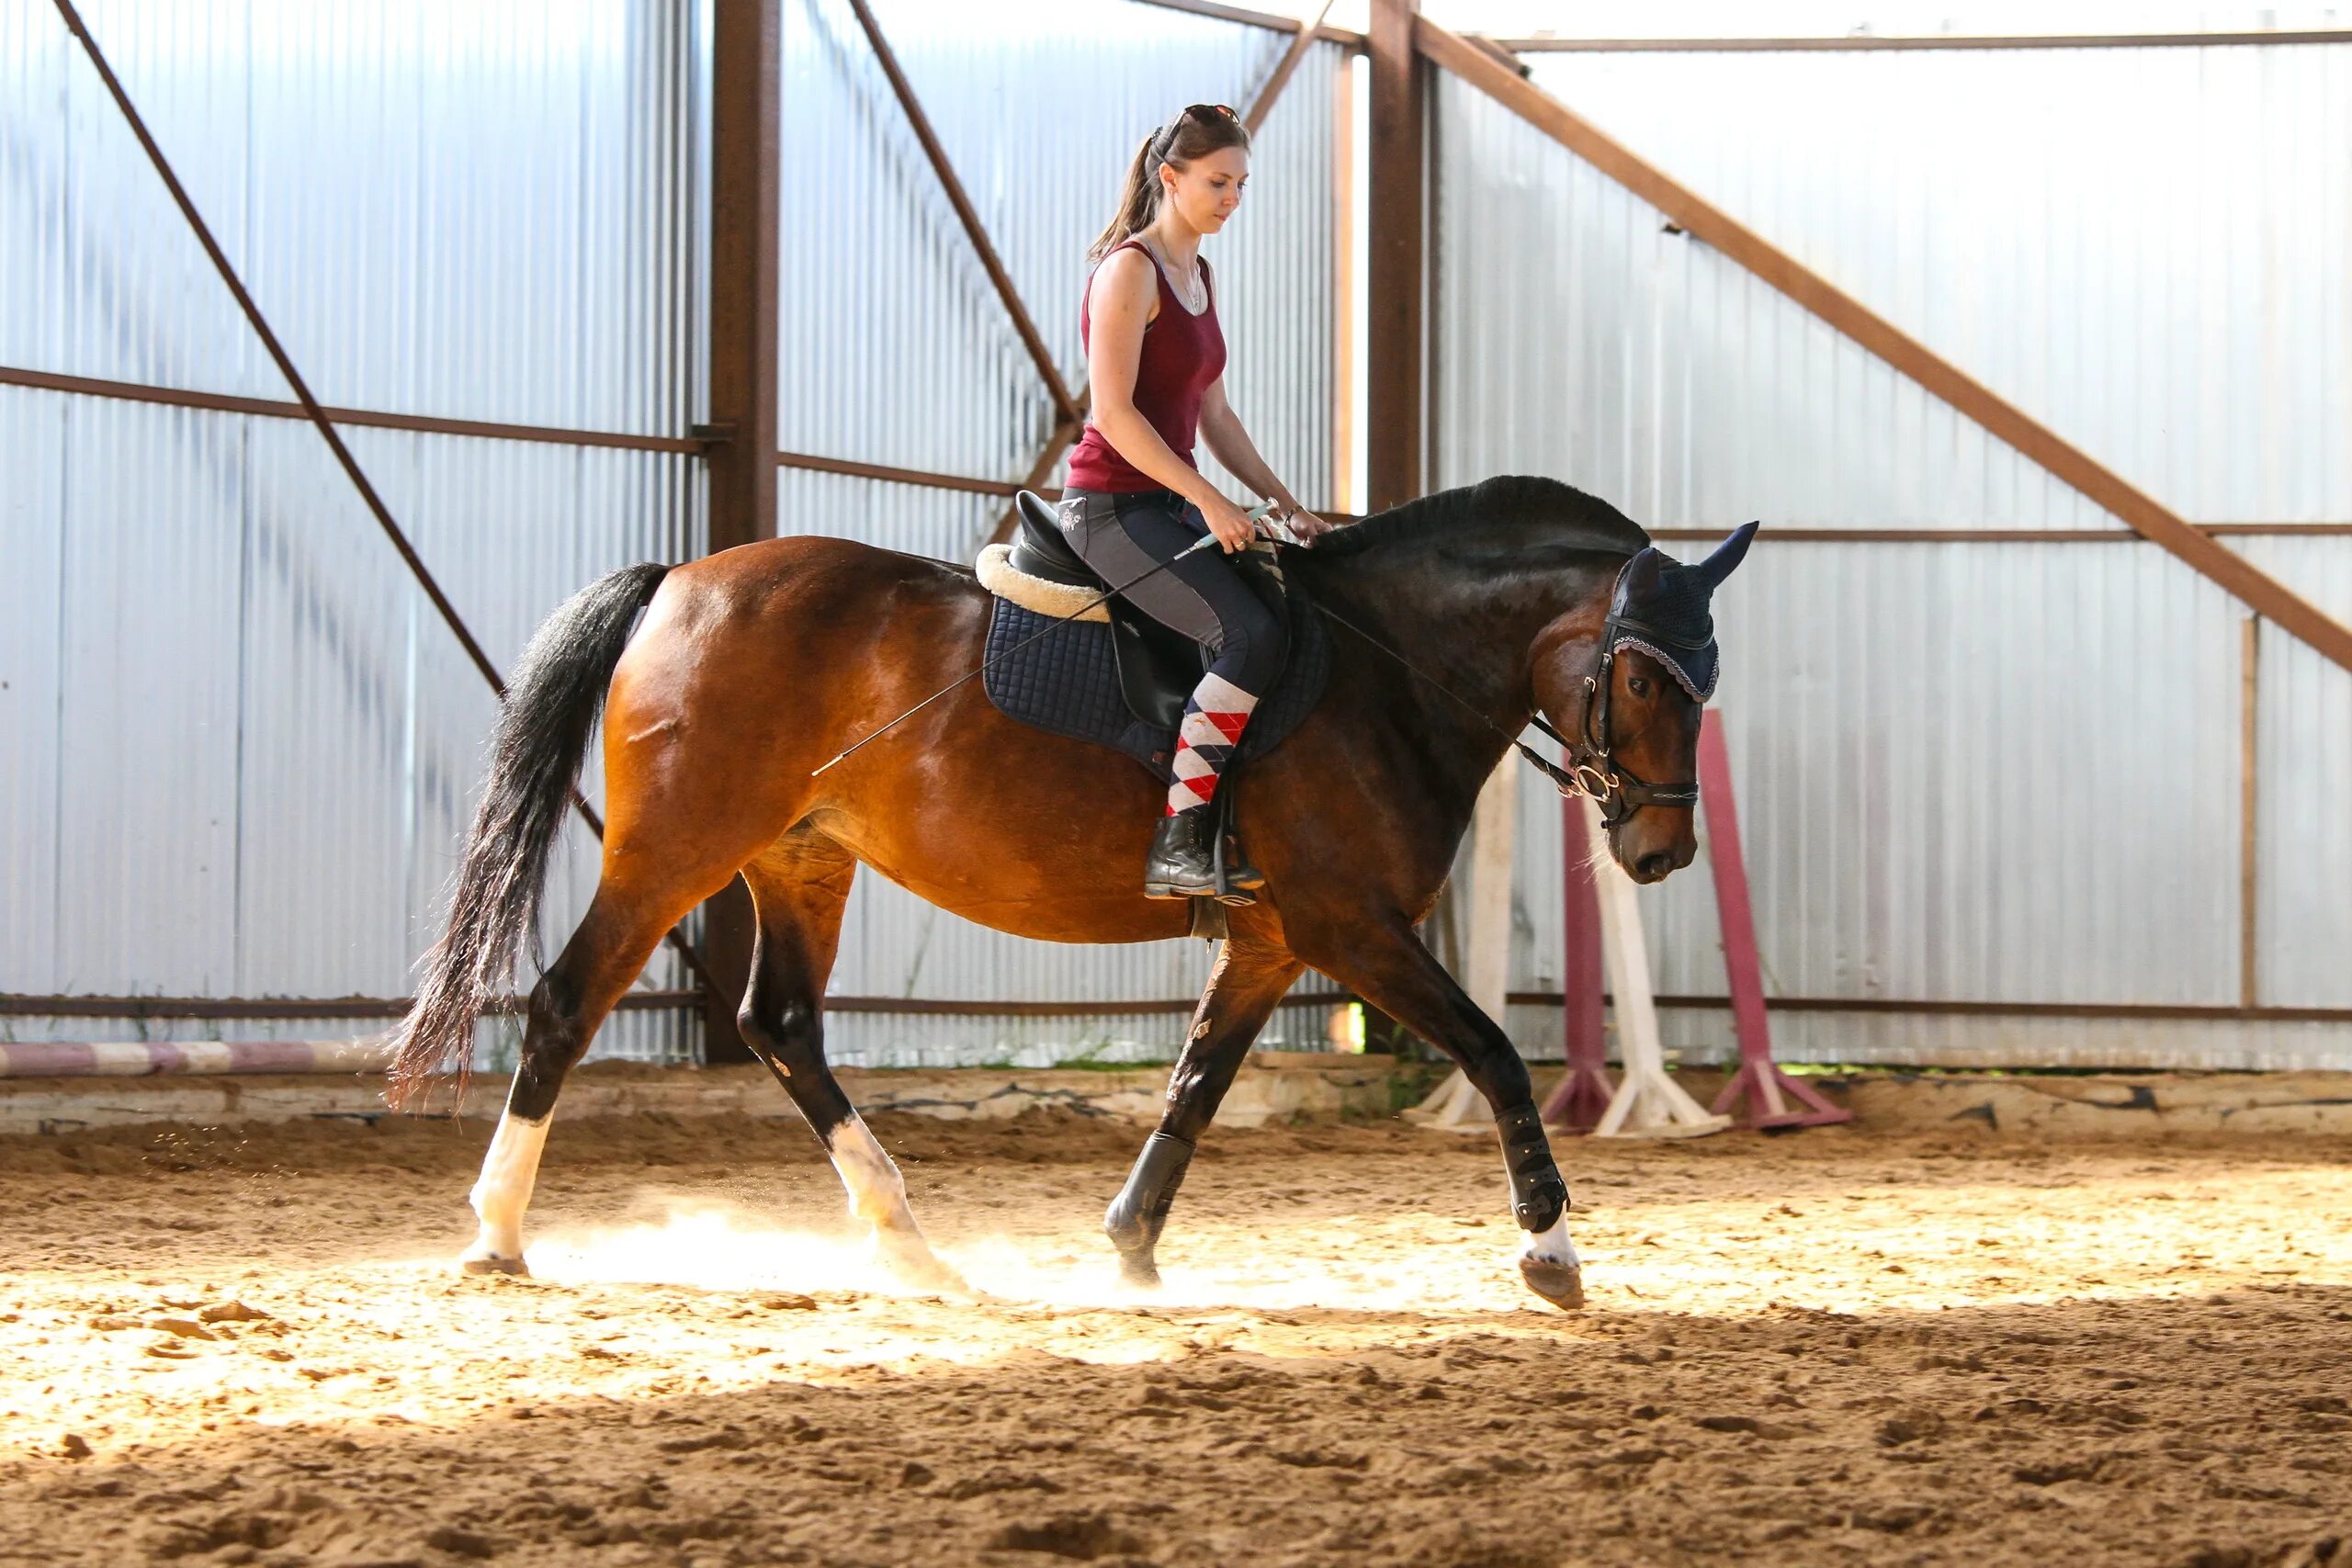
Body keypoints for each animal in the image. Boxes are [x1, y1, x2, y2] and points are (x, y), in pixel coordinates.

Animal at [380, 474, 1749, 1316]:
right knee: (567, 1002)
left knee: (782, 1025)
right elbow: (1495, 1053)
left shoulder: (1270, 941)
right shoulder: (1352, 927)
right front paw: (1549, 1249)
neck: (1386, 671)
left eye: (1707, 678)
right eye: (1643, 679)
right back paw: (498, 1230)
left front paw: (1130, 1246)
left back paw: (910, 1242)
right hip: (677, 850)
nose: (1661, 852)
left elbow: (1195, 1084)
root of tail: (679, 581)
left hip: (800, 855)